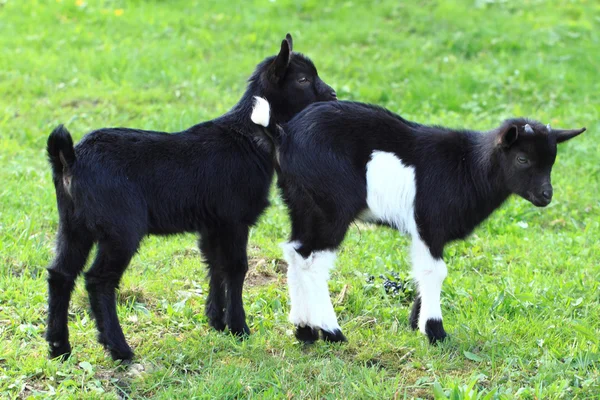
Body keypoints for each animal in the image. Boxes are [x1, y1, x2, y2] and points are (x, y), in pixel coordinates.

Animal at [45, 32, 338, 360]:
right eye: (302, 79)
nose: (333, 96)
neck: (248, 138)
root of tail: (70, 158)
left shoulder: (212, 222)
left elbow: (214, 264)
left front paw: (217, 321)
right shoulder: (234, 219)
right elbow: (236, 267)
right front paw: (239, 328)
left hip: (74, 224)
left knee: (60, 274)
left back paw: (58, 347)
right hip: (120, 228)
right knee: (98, 281)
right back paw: (119, 349)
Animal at [266, 100, 580, 344]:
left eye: (552, 161)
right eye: (522, 159)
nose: (546, 196)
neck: (467, 166)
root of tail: (284, 135)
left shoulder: (426, 232)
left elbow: (421, 270)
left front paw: (415, 324)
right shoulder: (430, 224)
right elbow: (435, 272)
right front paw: (434, 332)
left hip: (302, 203)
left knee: (296, 252)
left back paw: (304, 331)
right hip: (331, 205)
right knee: (314, 263)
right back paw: (332, 332)